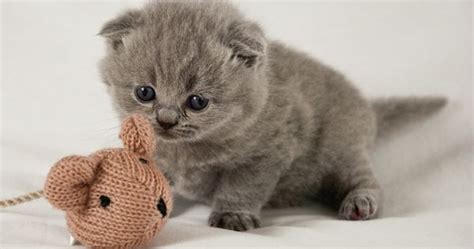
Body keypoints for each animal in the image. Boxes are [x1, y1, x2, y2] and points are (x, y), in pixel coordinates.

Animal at [98, 1, 446, 231]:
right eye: (145, 93)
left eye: (197, 102)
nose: (166, 119)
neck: (185, 151)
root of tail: (367, 106)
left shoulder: (267, 154)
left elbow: (242, 186)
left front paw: (233, 215)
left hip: (343, 148)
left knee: (366, 180)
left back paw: (360, 204)